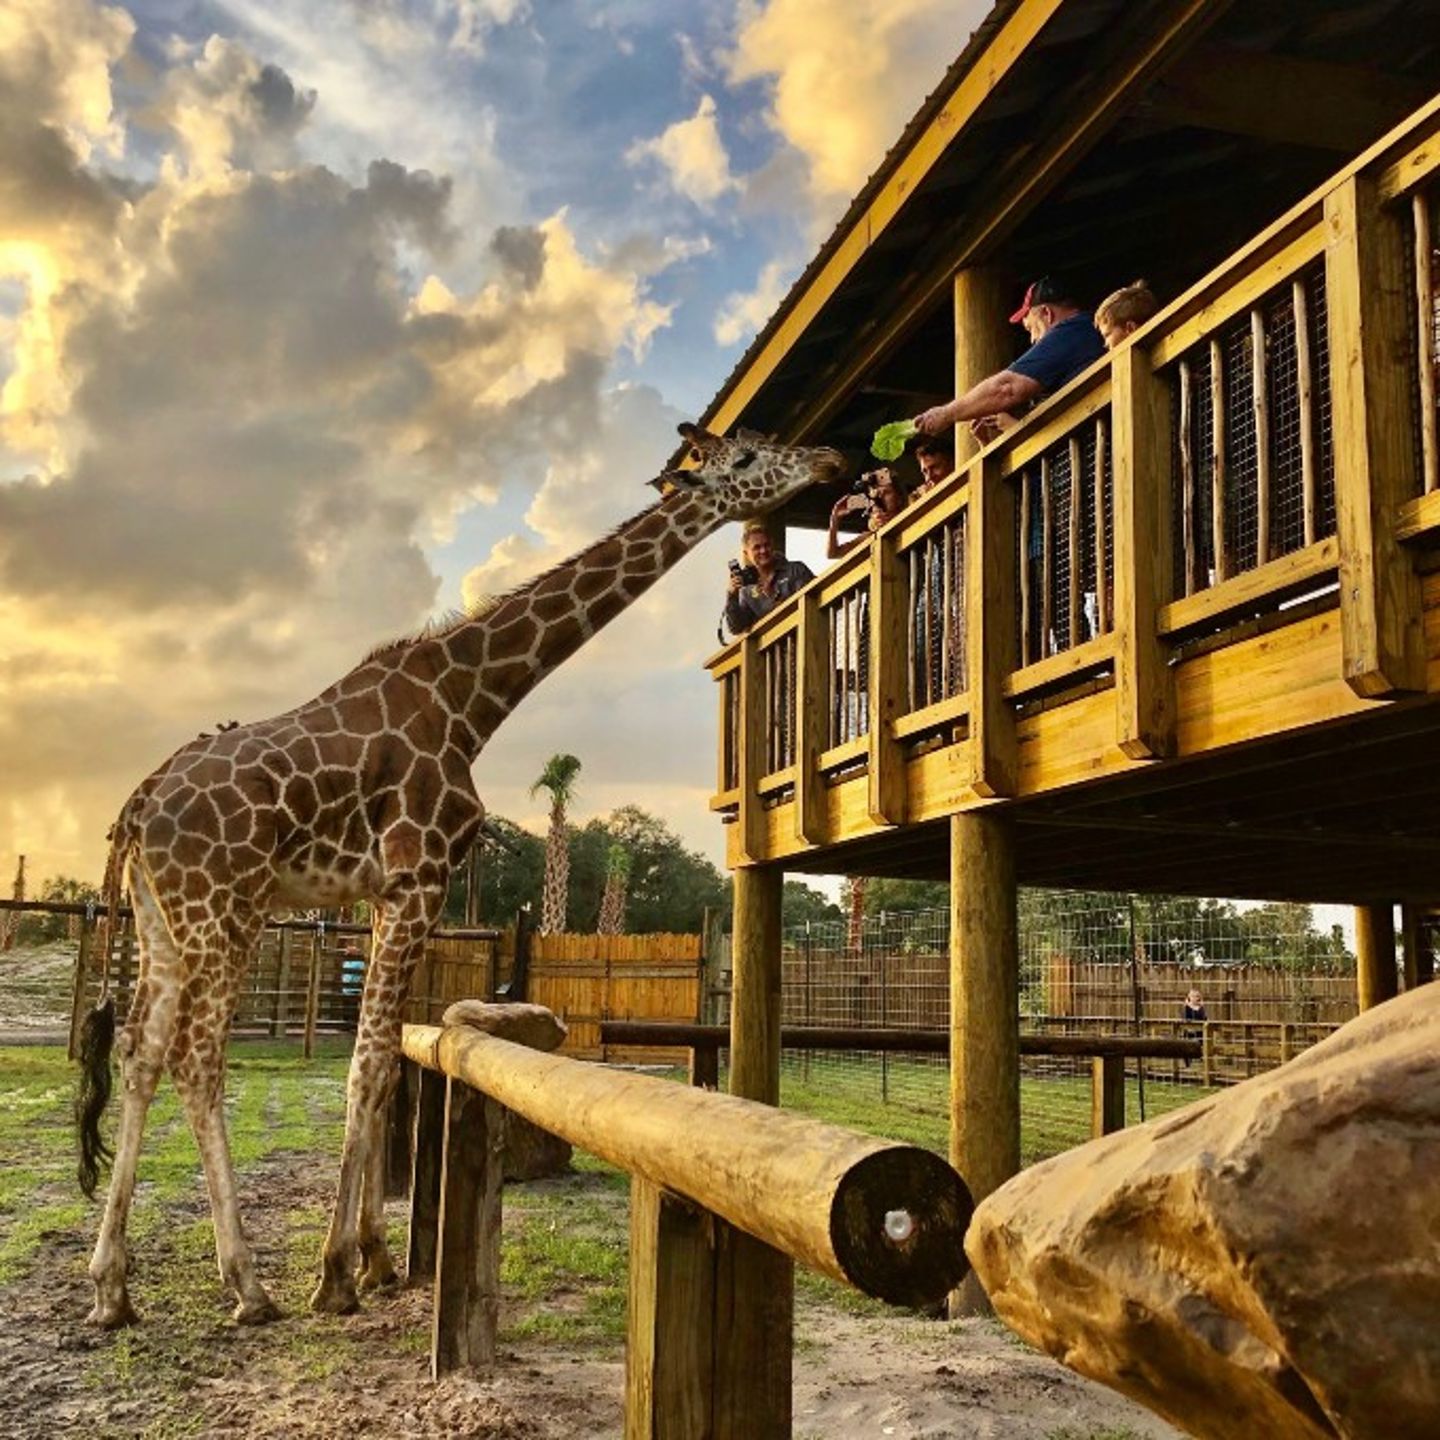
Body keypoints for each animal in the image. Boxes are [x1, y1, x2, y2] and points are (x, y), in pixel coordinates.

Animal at [76, 423, 844, 1328]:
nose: (830, 461)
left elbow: (382, 1059)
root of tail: (140, 803)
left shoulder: (389, 895)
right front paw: (334, 1274)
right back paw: (249, 1286)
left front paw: (372, 1258)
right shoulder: (419, 878)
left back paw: (113, 1287)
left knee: (140, 1051)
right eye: (749, 458)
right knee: (197, 1058)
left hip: (163, 918)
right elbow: (370, 1065)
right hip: (225, 908)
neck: (470, 703)